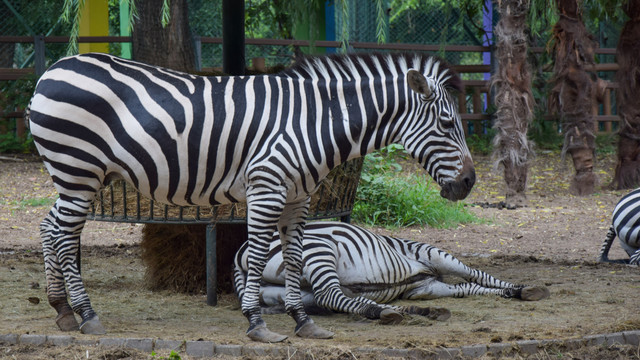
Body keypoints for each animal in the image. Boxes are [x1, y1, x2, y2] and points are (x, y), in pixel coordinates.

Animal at [26, 52, 476, 342]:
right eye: (447, 122)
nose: (469, 183)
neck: (315, 123)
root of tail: (53, 69)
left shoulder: (298, 198)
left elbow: (293, 258)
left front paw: (303, 323)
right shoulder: (266, 189)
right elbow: (258, 257)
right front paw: (257, 324)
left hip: (79, 177)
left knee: (50, 228)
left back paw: (62, 311)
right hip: (79, 170)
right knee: (64, 237)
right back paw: (87, 315)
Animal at [234, 222, 552, 324]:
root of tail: (240, 255)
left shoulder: (425, 287)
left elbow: (469, 287)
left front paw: (513, 291)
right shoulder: (431, 254)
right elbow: (477, 276)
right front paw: (520, 288)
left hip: (286, 292)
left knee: (334, 300)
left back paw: (412, 312)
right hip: (318, 251)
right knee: (331, 295)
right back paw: (383, 312)